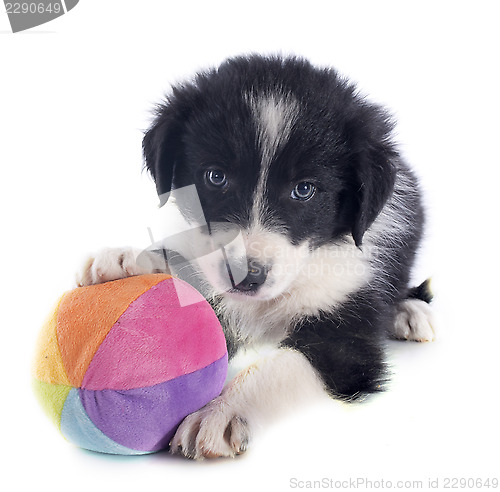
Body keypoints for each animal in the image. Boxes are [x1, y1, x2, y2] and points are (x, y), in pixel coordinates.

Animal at [78, 54, 434, 462]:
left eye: (304, 190)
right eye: (215, 177)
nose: (245, 278)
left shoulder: (347, 335)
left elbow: (285, 366)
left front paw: (222, 411)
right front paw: (130, 258)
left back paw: (409, 312)